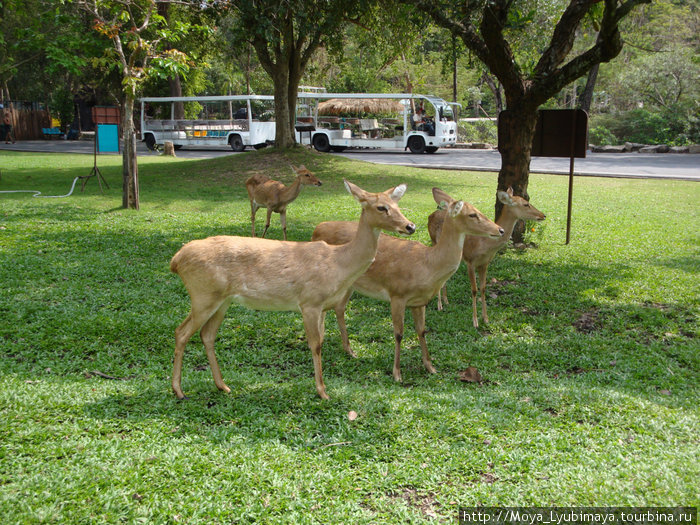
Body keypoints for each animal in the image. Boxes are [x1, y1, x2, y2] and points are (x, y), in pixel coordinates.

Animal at [170, 178, 416, 400]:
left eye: (398, 205)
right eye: (381, 207)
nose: (410, 226)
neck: (339, 263)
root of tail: (176, 260)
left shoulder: (322, 306)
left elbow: (322, 339)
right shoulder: (309, 301)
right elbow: (315, 345)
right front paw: (322, 392)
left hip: (222, 299)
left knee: (207, 334)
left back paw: (223, 386)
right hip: (203, 294)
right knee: (181, 332)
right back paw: (179, 391)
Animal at [314, 188, 504, 380]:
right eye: (472, 214)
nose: (500, 229)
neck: (428, 264)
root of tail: (317, 228)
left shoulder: (419, 301)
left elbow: (421, 330)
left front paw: (430, 367)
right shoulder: (397, 293)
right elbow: (399, 333)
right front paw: (397, 373)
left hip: (349, 284)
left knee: (339, 308)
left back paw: (349, 350)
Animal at [426, 188, 548, 326]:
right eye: (526, 204)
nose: (543, 215)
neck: (484, 244)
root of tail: (431, 215)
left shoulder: (485, 263)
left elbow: (483, 288)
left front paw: (486, 318)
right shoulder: (470, 260)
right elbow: (474, 290)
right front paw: (475, 321)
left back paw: (446, 301)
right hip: (434, 242)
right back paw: (439, 305)